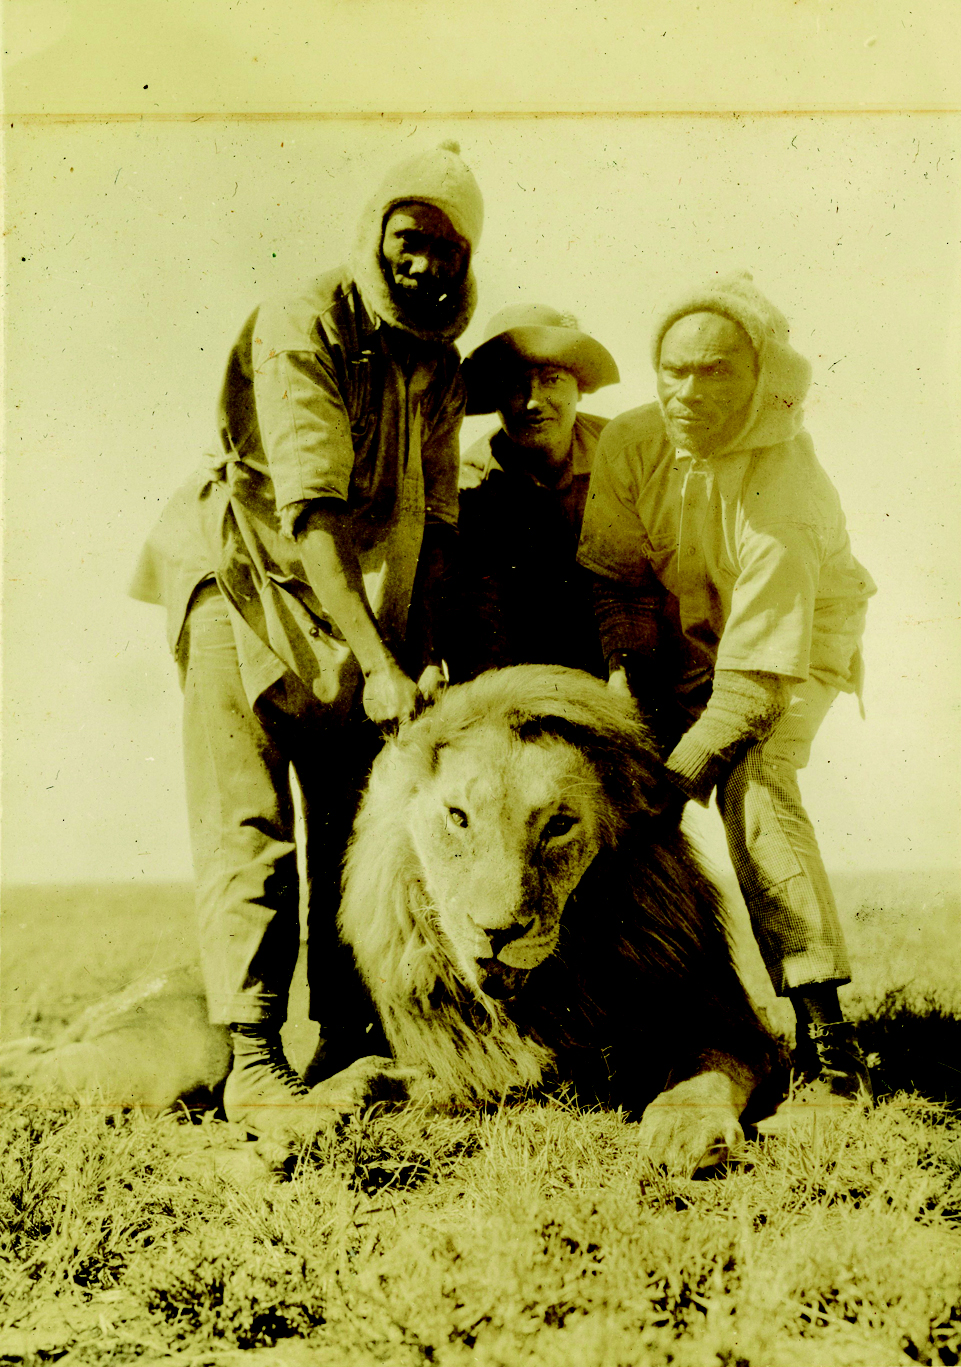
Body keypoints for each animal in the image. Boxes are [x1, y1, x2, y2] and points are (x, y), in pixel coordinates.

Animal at [339, 664, 781, 1175]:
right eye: (458, 817)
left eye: (559, 825)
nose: (498, 932)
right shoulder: (467, 1061)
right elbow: (370, 1075)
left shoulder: (733, 1020)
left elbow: (714, 1060)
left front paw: (683, 1128)